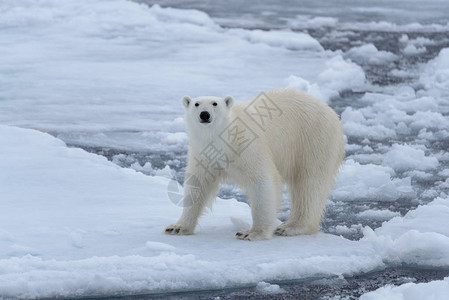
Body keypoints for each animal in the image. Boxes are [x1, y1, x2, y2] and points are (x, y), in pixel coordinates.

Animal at [164, 88, 344, 240]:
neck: (224, 139)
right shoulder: (203, 153)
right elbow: (198, 184)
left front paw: (251, 233)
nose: (204, 114)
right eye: (196, 104)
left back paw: (292, 227)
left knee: (309, 184)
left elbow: (262, 181)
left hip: (314, 139)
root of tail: (329, 110)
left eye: (215, 103)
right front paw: (177, 227)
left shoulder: (248, 145)